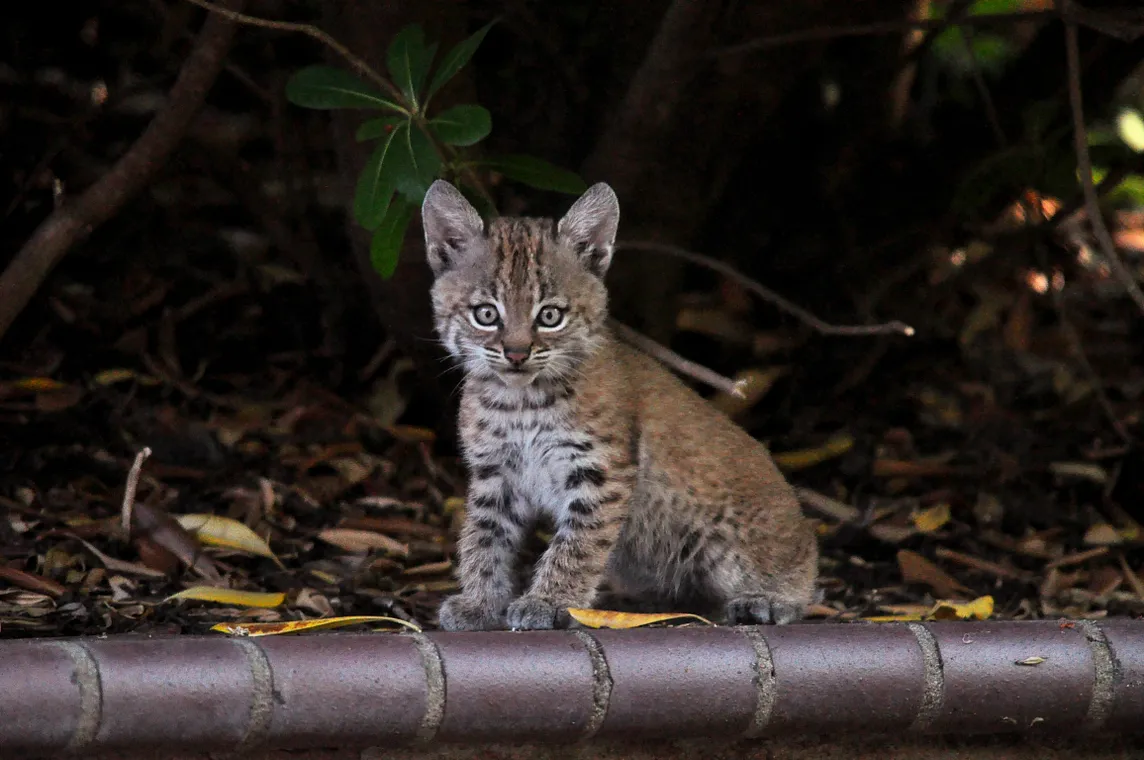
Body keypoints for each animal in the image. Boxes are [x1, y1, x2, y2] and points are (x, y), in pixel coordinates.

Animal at [425, 179, 819, 627]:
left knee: (805, 561)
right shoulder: (495, 471)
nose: (517, 354)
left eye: (550, 316)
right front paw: (479, 602)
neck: (520, 400)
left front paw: (548, 602)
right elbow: (483, 537)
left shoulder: (600, 470)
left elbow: (576, 546)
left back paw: (769, 598)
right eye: (486, 314)